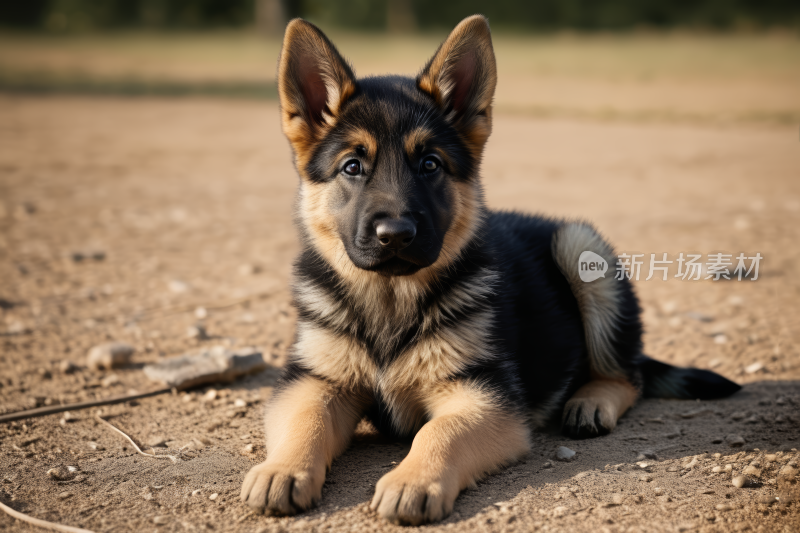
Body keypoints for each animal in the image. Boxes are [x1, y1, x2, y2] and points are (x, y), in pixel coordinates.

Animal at [241, 14, 740, 524]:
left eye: (430, 164)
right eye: (352, 166)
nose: (395, 234)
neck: (390, 300)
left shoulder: (485, 397)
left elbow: (437, 432)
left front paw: (412, 480)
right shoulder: (314, 382)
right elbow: (307, 420)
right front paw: (282, 469)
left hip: (581, 250)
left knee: (627, 374)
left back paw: (589, 401)